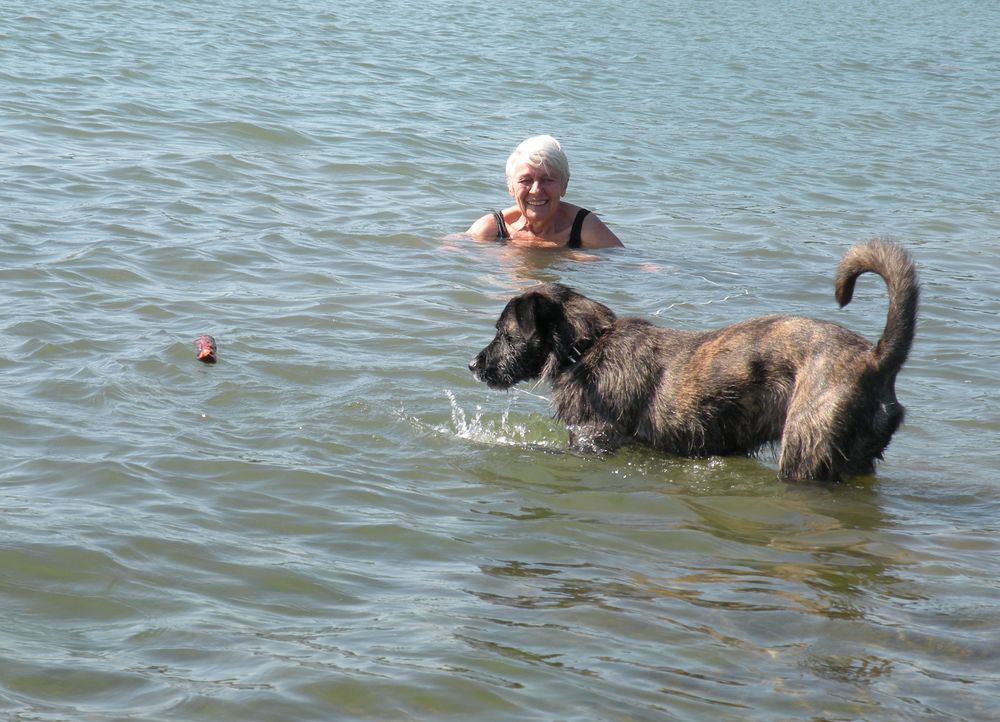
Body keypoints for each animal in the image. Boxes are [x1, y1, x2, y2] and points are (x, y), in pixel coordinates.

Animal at [472, 239, 916, 480]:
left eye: (504, 333)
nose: (474, 366)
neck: (587, 346)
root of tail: (875, 358)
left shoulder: (592, 440)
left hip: (805, 452)